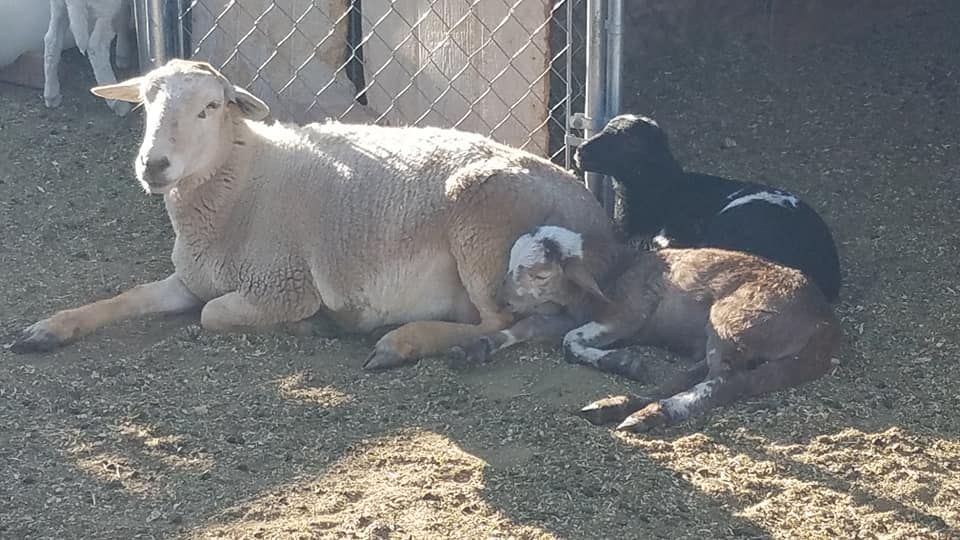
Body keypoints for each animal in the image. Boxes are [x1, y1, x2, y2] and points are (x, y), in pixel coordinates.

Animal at [9, 59, 616, 372]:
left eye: (210, 106)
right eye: (146, 104)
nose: (153, 165)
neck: (243, 185)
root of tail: (596, 213)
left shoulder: (281, 286)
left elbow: (213, 316)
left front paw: (313, 326)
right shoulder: (191, 277)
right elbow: (124, 300)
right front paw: (47, 329)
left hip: (484, 229)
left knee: (501, 320)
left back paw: (403, 342)